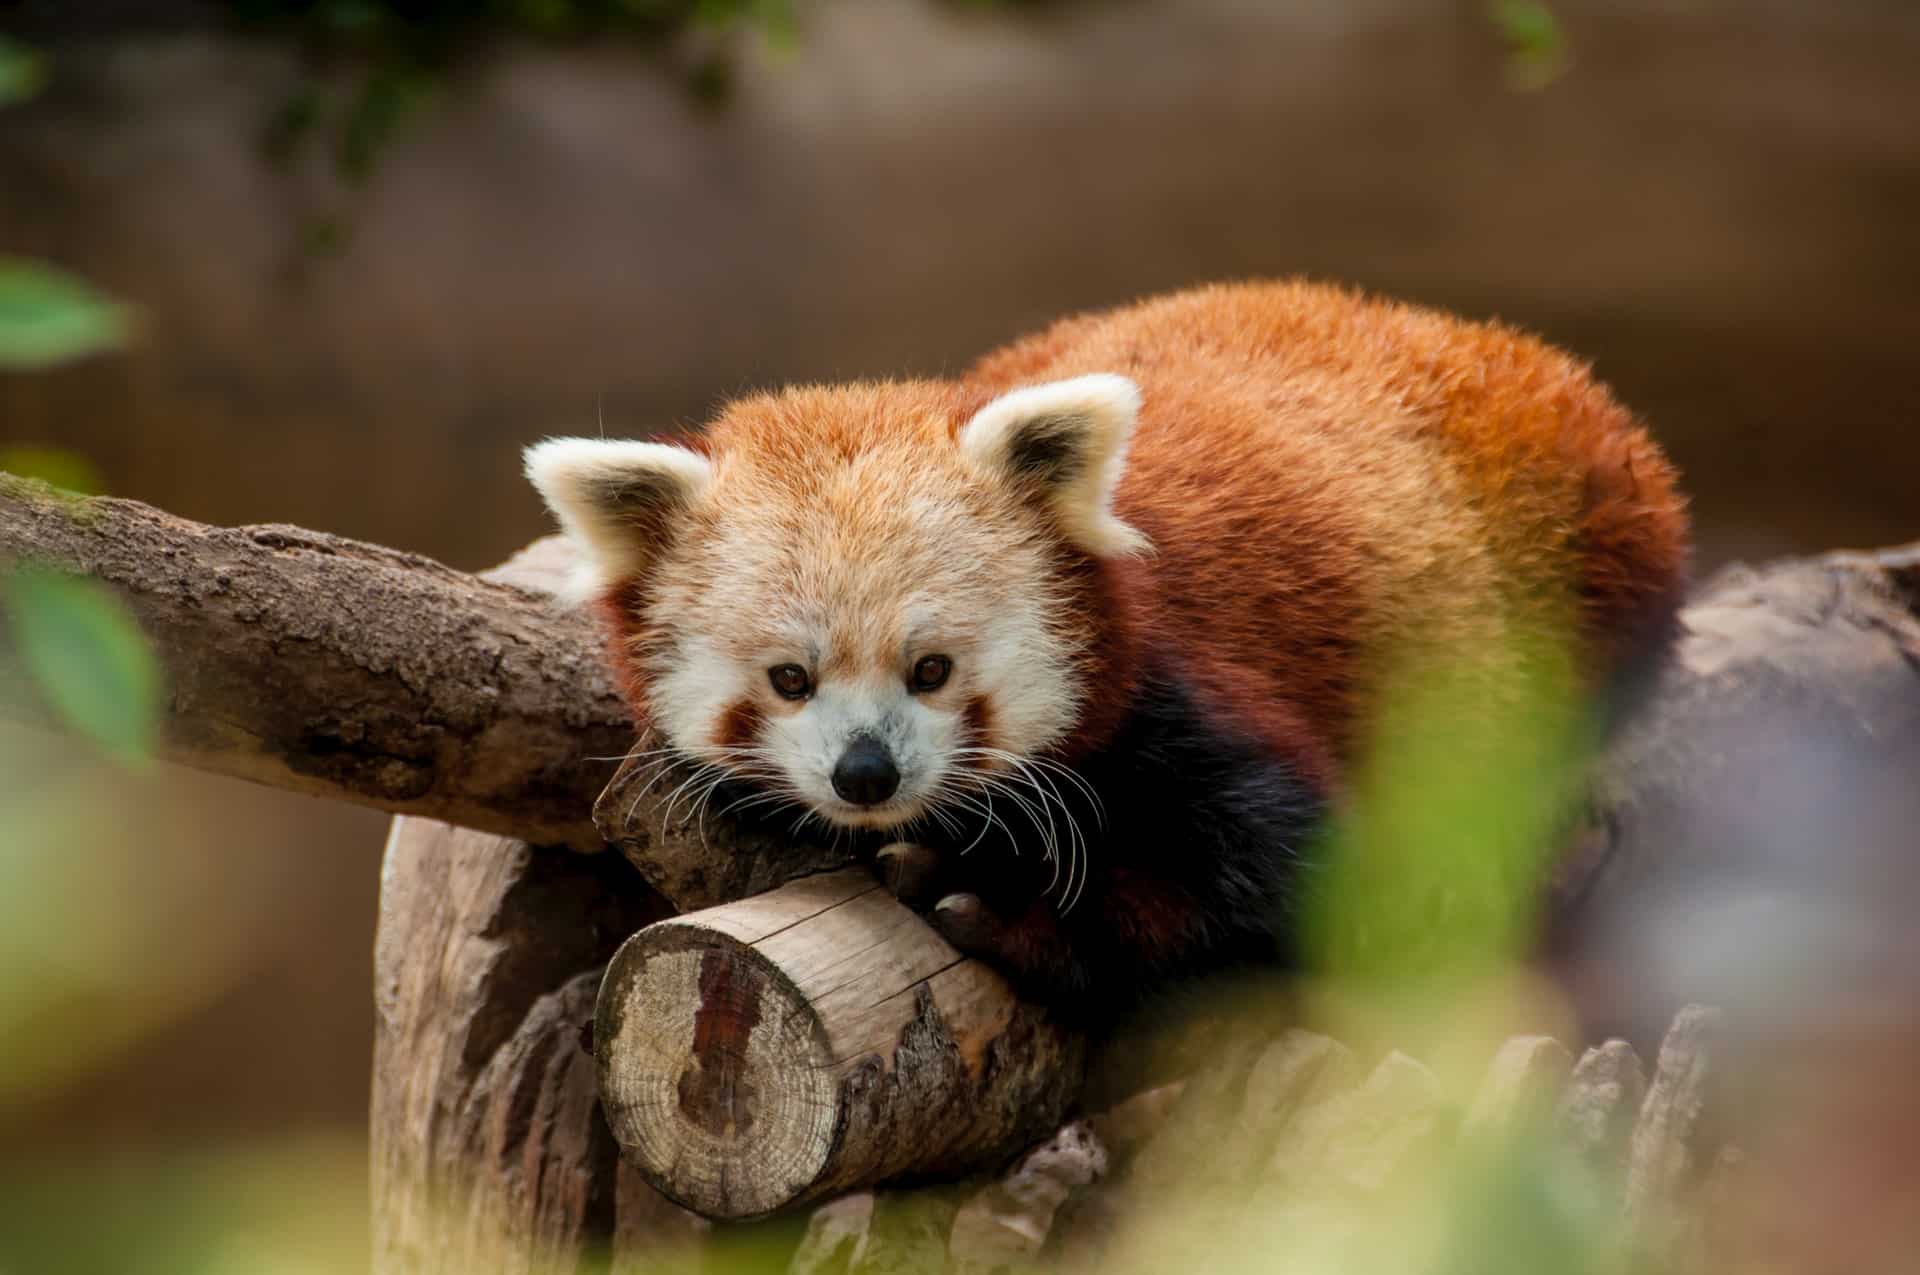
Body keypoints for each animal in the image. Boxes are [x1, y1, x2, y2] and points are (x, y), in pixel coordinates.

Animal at [526, 282, 1681, 1013]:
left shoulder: (1189, 695)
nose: (867, 774)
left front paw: (1006, 912)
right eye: (790, 679)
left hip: (1588, 544)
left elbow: (1291, 885)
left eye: (933, 669)